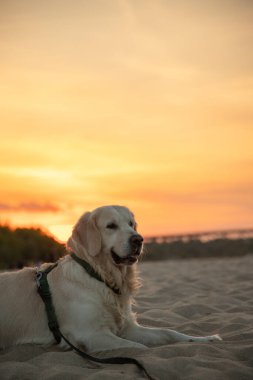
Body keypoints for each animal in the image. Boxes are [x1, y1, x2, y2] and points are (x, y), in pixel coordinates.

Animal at [0, 206, 221, 352]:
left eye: (131, 224)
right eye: (111, 226)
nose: (138, 239)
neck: (100, 277)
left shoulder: (128, 327)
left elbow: (169, 333)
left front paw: (206, 339)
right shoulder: (91, 334)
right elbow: (139, 348)